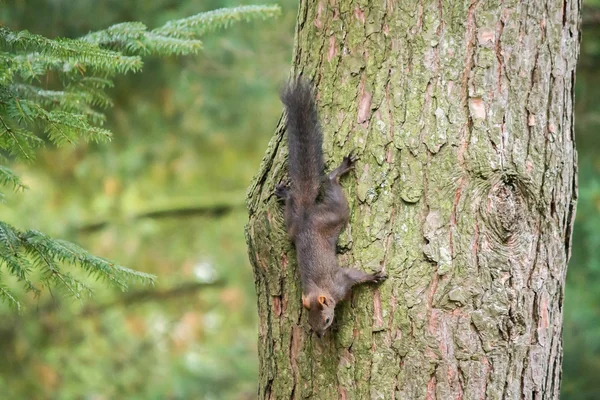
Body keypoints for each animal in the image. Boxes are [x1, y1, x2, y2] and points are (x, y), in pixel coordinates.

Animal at [274, 78, 386, 338]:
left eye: (325, 320)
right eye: (311, 324)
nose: (321, 335)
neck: (321, 290)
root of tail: (306, 217)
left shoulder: (340, 282)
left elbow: (354, 275)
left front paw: (372, 276)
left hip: (333, 215)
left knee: (330, 185)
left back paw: (336, 173)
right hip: (297, 224)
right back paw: (288, 193)